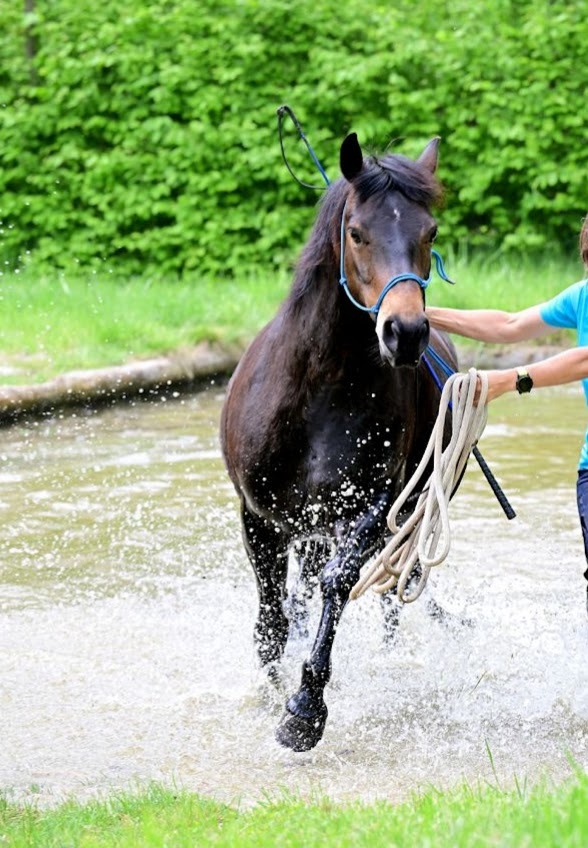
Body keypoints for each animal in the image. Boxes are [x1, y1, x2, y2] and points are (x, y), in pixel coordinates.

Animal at [220, 131, 458, 752]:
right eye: (357, 232)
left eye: (431, 233)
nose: (405, 332)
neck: (323, 385)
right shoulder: (259, 518)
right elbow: (273, 619)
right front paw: (271, 690)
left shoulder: (373, 511)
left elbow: (338, 585)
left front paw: (305, 710)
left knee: (389, 592)